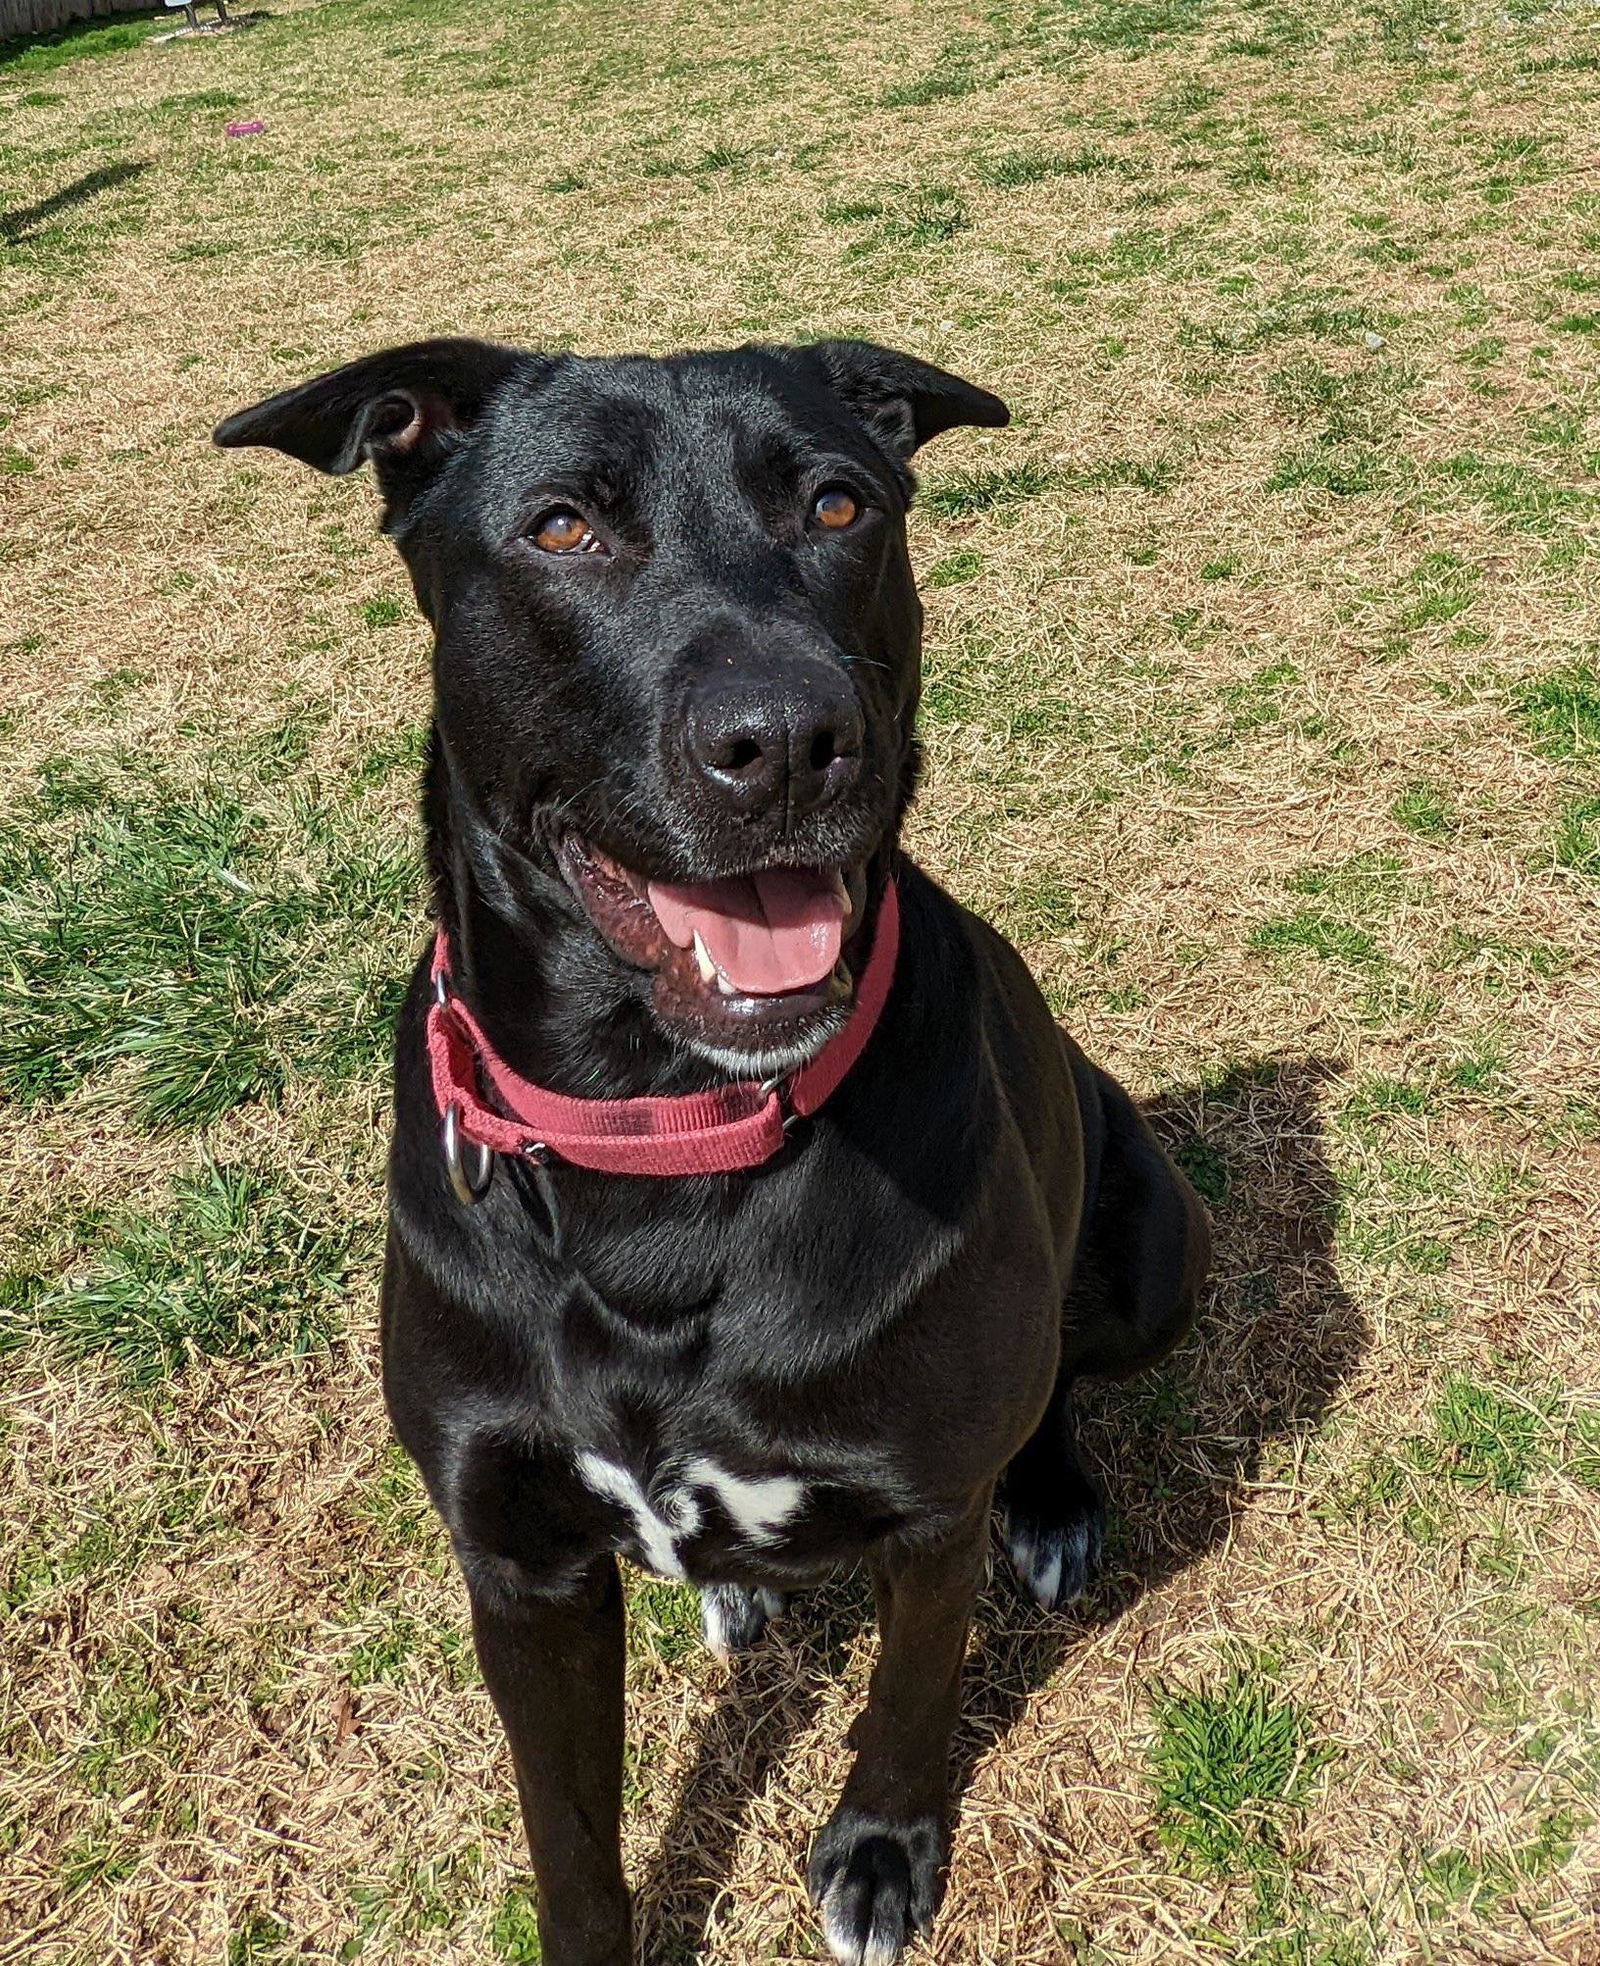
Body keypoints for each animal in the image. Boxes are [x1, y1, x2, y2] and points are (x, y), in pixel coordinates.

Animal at [216, 342, 1218, 1966]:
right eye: (562, 527)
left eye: (838, 504)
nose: (791, 740)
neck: (664, 1137)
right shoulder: (522, 1567)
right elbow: (569, 1828)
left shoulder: (926, 1512)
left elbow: (910, 1699)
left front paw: (880, 1853)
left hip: (1148, 1253)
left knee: (1058, 1371)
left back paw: (1055, 1502)